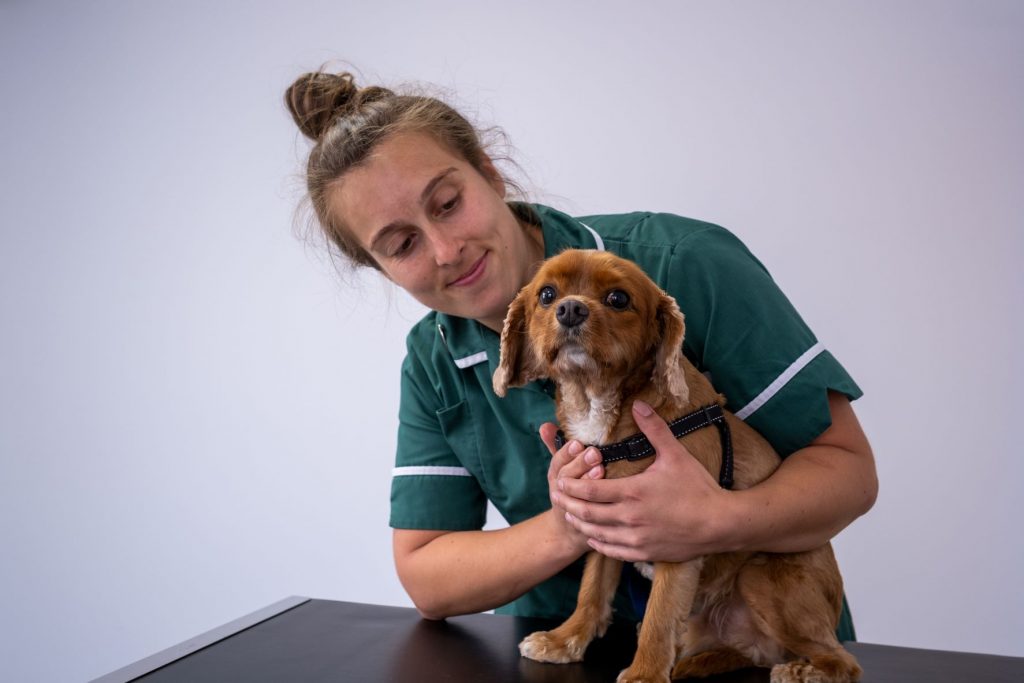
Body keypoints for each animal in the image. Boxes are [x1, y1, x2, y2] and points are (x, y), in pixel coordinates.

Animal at [491, 249, 860, 683]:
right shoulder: (601, 523)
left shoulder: (675, 535)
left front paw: (645, 673)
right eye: (547, 294)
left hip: (762, 576)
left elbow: (660, 614)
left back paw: (805, 670)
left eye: (618, 299)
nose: (570, 309)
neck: (599, 404)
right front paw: (566, 639)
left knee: (845, 661)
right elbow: (592, 590)